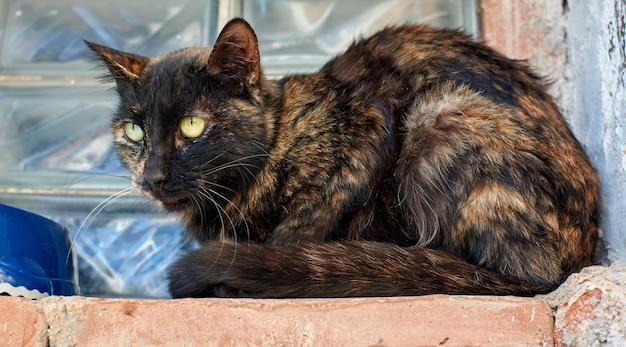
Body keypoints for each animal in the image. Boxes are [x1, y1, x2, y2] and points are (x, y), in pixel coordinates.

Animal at [85, 17, 596, 300]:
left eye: (192, 126)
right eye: (134, 131)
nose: (152, 175)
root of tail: (580, 255)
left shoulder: (367, 128)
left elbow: (301, 228)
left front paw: (254, 272)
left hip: (438, 112)